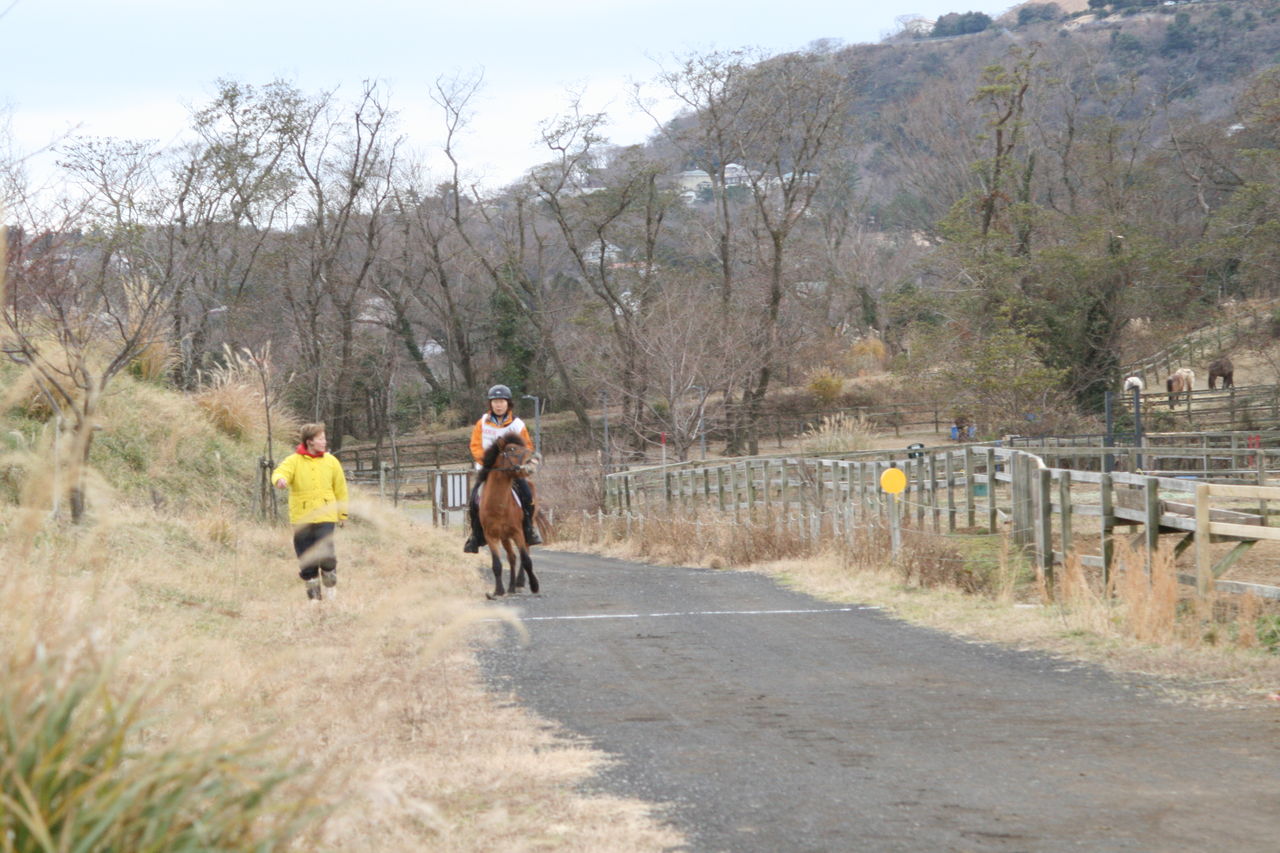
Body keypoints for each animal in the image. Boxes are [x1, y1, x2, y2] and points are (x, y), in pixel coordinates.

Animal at [478, 435, 540, 599]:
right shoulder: (491, 536)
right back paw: (511, 586)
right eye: (512, 449)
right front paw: (498, 591)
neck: (498, 506)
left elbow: (526, 560)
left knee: (525, 552)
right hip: (504, 537)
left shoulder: (518, 532)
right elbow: (497, 564)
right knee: (512, 557)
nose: (535, 457)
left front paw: (534, 586)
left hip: (524, 529)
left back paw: (519, 583)